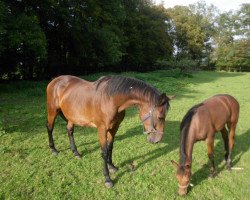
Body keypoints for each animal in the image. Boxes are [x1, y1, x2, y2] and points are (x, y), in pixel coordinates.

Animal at [47, 74, 175, 188]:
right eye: (160, 117)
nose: (157, 140)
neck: (111, 100)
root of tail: (55, 80)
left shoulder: (114, 128)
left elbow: (110, 147)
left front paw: (111, 166)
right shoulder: (102, 129)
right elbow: (104, 152)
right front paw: (107, 179)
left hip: (71, 116)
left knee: (70, 130)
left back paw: (75, 152)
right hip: (53, 111)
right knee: (50, 128)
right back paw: (53, 149)